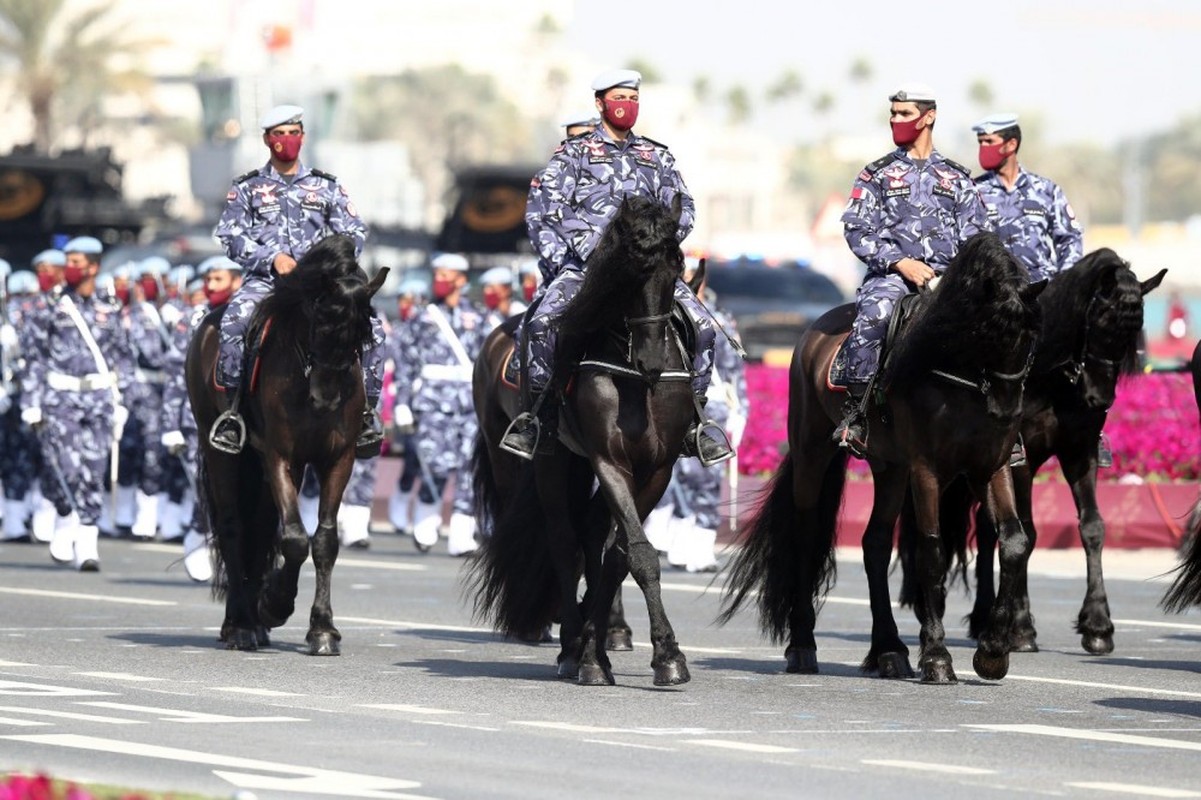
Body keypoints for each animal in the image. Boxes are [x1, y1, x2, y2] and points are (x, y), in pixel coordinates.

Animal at [186, 234, 389, 653]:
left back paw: (252, 622)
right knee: (233, 528)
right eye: (319, 323)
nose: (326, 398)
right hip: (222, 454)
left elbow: (323, 540)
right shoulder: (282, 456)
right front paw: (275, 604)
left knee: (259, 527)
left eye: (362, 335)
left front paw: (323, 629)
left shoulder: (337, 459)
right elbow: (294, 538)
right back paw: (240, 624)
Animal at [465, 194, 696, 687]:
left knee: (589, 533)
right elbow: (637, 553)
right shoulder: (609, 460)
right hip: (544, 461)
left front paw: (629, 648)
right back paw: (571, 646)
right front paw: (649, 654)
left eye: (677, 265)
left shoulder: (657, 469)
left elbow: (621, 554)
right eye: (628, 272)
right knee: (562, 540)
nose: (651, 359)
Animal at [715, 229, 1047, 677]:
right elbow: (931, 550)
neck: (958, 379)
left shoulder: (990, 466)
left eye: (1030, 340)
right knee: (806, 536)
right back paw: (803, 646)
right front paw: (937, 656)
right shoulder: (926, 469)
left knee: (874, 543)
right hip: (812, 453)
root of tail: (813, 333)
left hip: (890, 467)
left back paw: (888, 649)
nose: (1007, 411)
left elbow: (1013, 541)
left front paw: (993, 649)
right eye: (989, 334)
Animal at [903, 249, 1162, 653]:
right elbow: (1028, 530)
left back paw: (984, 616)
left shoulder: (1080, 452)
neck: (1053, 379)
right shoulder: (1020, 461)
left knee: (987, 531)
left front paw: (1098, 624)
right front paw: (1022, 627)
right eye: (1101, 323)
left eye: (1132, 333)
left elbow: (1092, 526)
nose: (1100, 399)